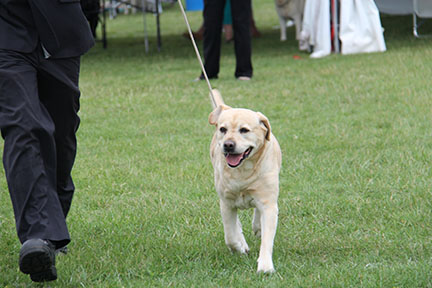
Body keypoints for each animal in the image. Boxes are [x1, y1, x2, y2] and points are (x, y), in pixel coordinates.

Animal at [208, 89, 282, 272]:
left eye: (244, 130)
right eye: (223, 129)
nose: (228, 145)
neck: (243, 170)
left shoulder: (268, 202)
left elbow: (267, 238)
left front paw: (265, 266)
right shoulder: (226, 203)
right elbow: (230, 235)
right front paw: (241, 247)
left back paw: (257, 226)